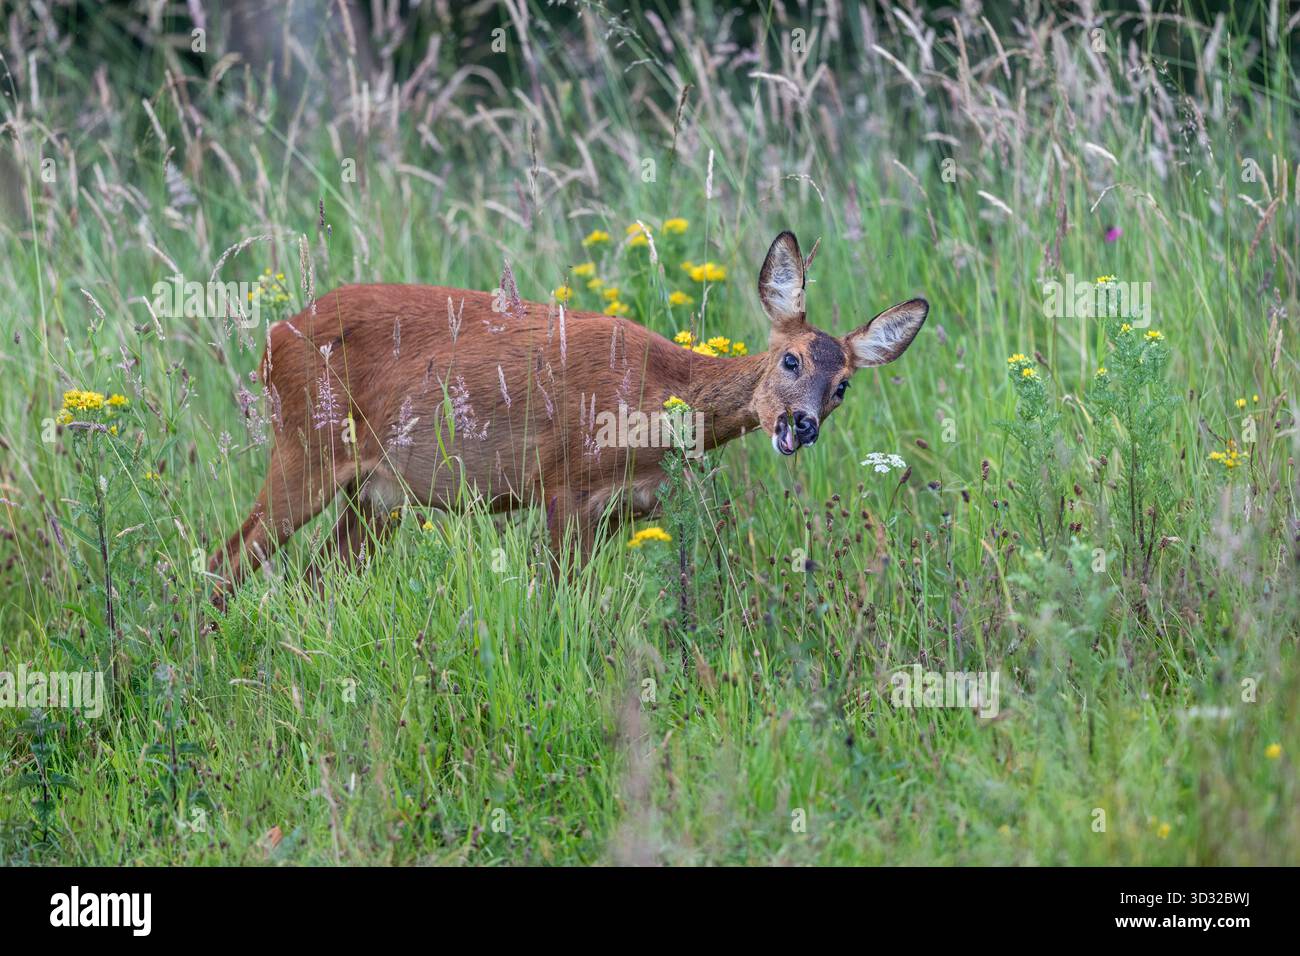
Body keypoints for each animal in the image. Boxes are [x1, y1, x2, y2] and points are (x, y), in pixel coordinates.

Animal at [206, 230, 928, 611]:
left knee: (314, 581)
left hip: (379, 495)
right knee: (225, 559)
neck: (652, 407)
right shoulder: (562, 482)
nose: (801, 425)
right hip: (306, 446)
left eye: (841, 388)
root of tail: (274, 335)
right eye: (789, 358)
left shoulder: (622, 510)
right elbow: (555, 597)